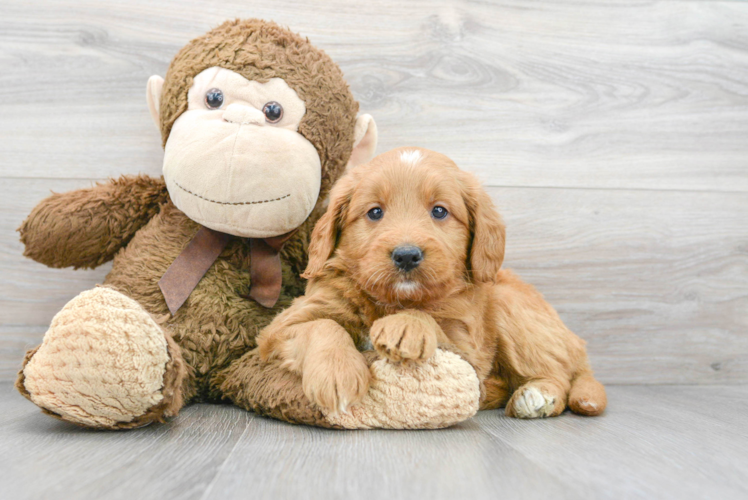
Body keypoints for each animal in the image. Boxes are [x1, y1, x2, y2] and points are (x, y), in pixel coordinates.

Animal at [258, 147, 608, 418]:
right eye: (374, 212)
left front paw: (405, 326)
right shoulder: (283, 327)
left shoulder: (469, 355)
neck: (391, 301)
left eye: (439, 211)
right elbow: (322, 325)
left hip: (509, 304)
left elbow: (430, 321)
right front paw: (337, 374)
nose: (406, 256)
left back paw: (536, 396)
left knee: (559, 374)